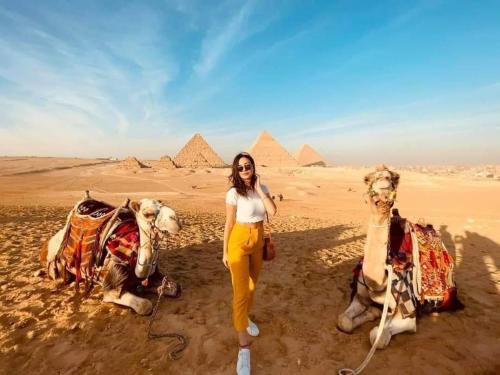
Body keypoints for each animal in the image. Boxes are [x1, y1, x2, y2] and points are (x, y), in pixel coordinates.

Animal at [40, 194, 182, 318]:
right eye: (148, 214)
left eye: (162, 204)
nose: (176, 220)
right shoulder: (112, 282)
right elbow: (145, 306)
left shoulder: (152, 274)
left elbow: (175, 288)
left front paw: (144, 288)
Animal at [338, 167, 462, 350]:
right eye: (368, 179)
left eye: (394, 178)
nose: (384, 181)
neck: (380, 282)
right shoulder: (360, 297)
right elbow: (343, 321)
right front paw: (373, 312)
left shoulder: (408, 311)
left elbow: (379, 337)